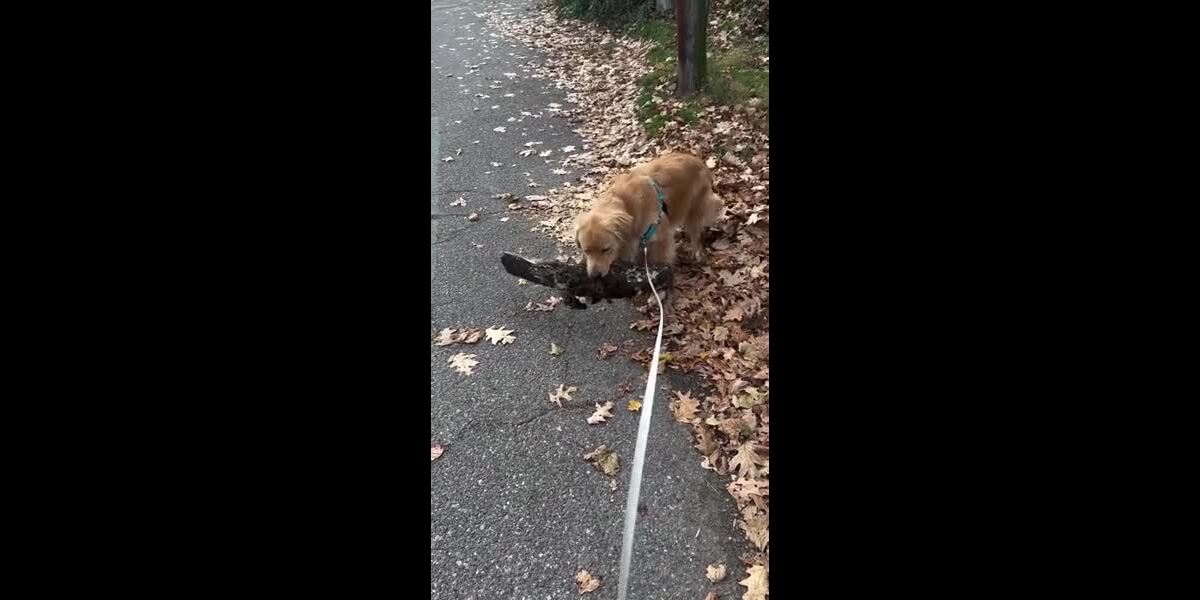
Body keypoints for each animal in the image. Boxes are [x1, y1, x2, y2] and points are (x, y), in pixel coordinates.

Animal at [574, 152, 723, 283]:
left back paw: (697, 253)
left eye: (605, 250)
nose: (595, 276)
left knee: (697, 233)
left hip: (694, 210)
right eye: (586, 251)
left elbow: (660, 261)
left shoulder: (660, 239)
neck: (626, 204)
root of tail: (699, 161)